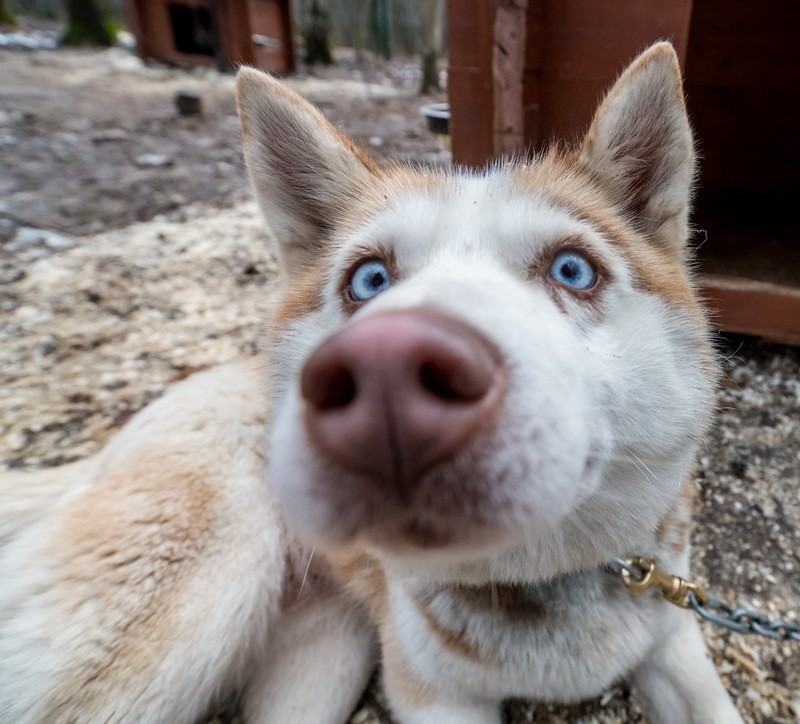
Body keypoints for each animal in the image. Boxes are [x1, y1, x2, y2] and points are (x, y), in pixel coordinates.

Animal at [0, 42, 744, 720]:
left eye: (572, 270)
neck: (536, 584)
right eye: (369, 280)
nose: (387, 372)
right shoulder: (432, 697)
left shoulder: (673, 641)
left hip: (324, 655)